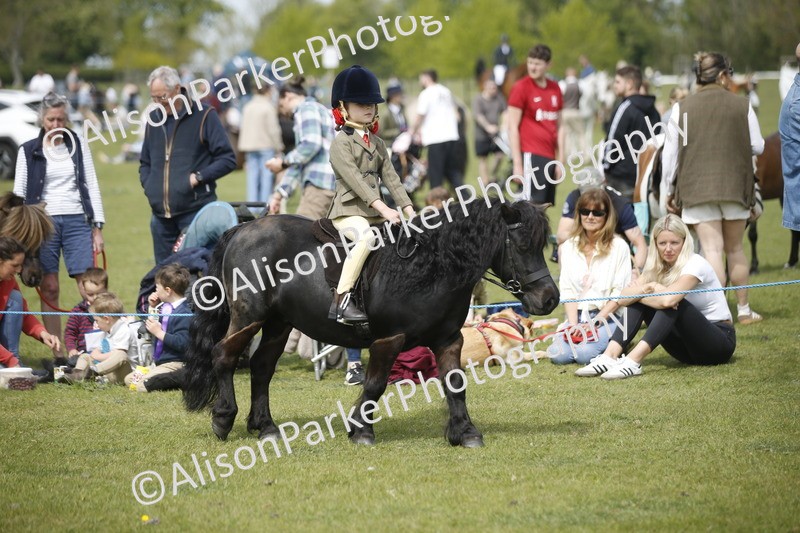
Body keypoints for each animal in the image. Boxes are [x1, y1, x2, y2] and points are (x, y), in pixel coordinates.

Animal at [183, 198, 559, 447]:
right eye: (522, 246)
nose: (550, 299)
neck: (430, 268)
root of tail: (242, 228)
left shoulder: (449, 339)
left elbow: (455, 383)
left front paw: (465, 432)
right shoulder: (388, 340)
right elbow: (375, 385)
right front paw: (361, 431)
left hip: (278, 322)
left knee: (261, 367)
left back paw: (265, 427)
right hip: (249, 317)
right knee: (224, 356)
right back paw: (223, 418)